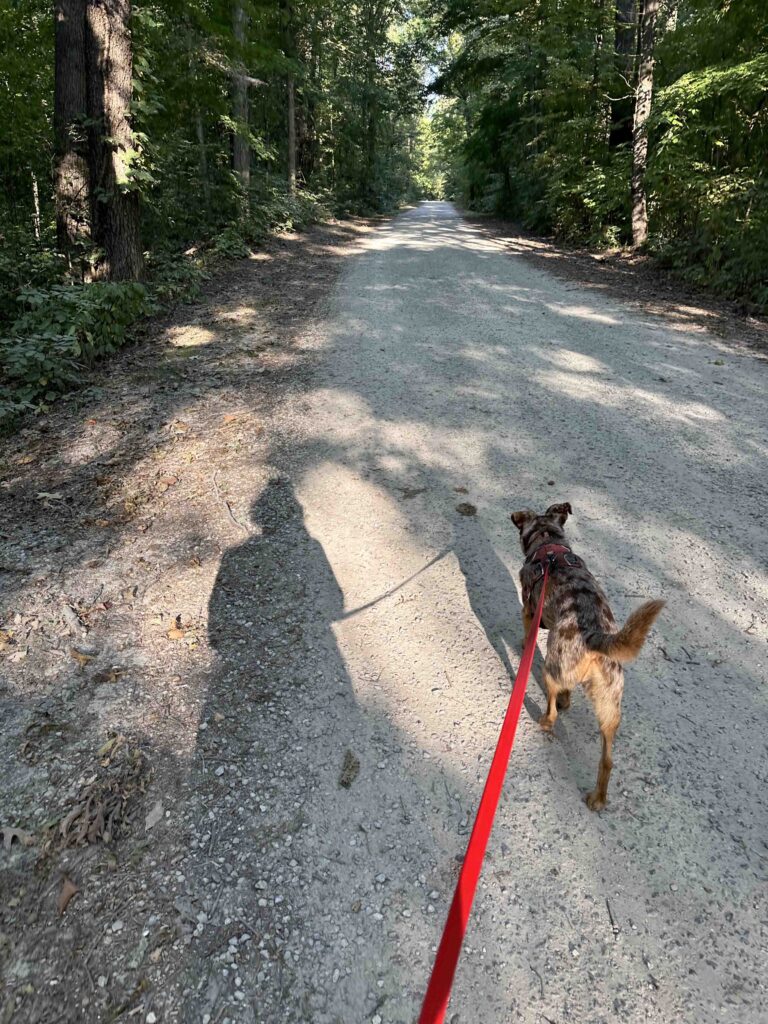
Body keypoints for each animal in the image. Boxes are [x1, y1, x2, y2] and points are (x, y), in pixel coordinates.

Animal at [512, 501, 667, 806]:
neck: (549, 542)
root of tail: (595, 636)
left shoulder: (529, 613)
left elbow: (527, 636)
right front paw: (567, 698)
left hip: (552, 667)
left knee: (552, 709)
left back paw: (546, 720)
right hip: (609, 707)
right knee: (607, 761)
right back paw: (597, 798)